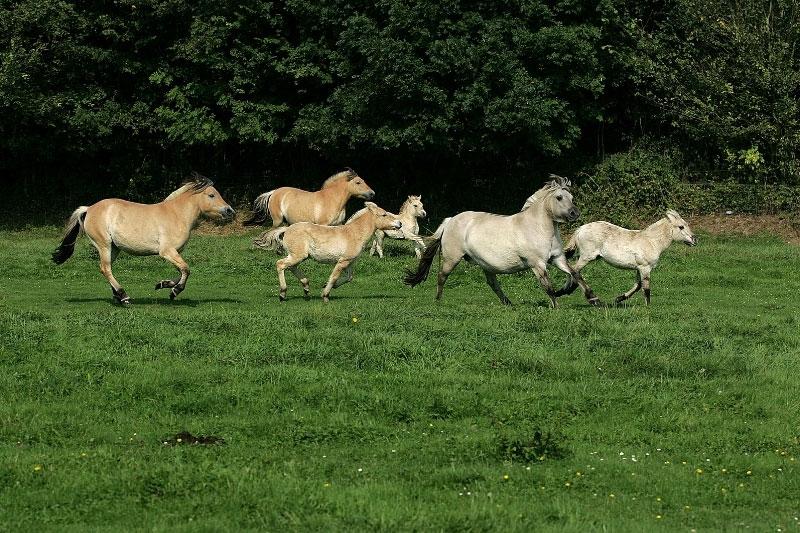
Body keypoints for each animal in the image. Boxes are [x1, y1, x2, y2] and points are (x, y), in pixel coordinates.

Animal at [51, 173, 236, 303]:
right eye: (211, 195)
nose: (230, 211)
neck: (176, 215)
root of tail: (88, 209)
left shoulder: (174, 253)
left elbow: (181, 270)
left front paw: (163, 284)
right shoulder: (167, 251)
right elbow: (186, 269)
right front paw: (174, 291)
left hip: (114, 248)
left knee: (106, 268)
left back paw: (118, 297)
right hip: (104, 245)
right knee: (105, 268)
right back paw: (124, 296)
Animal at [243, 168, 375, 231]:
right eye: (358, 182)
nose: (372, 193)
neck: (332, 199)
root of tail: (274, 192)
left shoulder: (338, 224)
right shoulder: (323, 225)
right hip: (277, 220)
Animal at [255, 202, 401, 302]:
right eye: (384, 214)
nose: (399, 224)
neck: (354, 234)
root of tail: (286, 230)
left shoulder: (350, 262)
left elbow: (349, 277)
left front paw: (327, 285)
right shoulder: (343, 261)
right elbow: (335, 276)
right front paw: (325, 295)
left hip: (299, 256)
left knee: (291, 267)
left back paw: (306, 287)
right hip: (298, 256)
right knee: (281, 264)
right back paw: (282, 294)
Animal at [403, 176, 600, 308]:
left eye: (572, 198)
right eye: (559, 198)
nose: (575, 213)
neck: (537, 227)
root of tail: (450, 220)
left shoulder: (557, 258)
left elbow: (575, 274)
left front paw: (594, 299)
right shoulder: (537, 264)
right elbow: (548, 286)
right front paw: (556, 306)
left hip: (486, 264)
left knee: (493, 284)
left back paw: (508, 303)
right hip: (453, 258)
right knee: (442, 276)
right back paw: (438, 300)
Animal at [555, 209, 698, 305]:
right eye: (681, 227)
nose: (695, 239)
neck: (651, 241)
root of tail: (580, 229)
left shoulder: (639, 268)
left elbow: (638, 286)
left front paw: (619, 299)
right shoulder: (645, 267)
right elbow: (646, 287)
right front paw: (648, 306)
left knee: (572, 270)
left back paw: (563, 291)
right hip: (587, 256)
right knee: (574, 270)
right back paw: (589, 297)